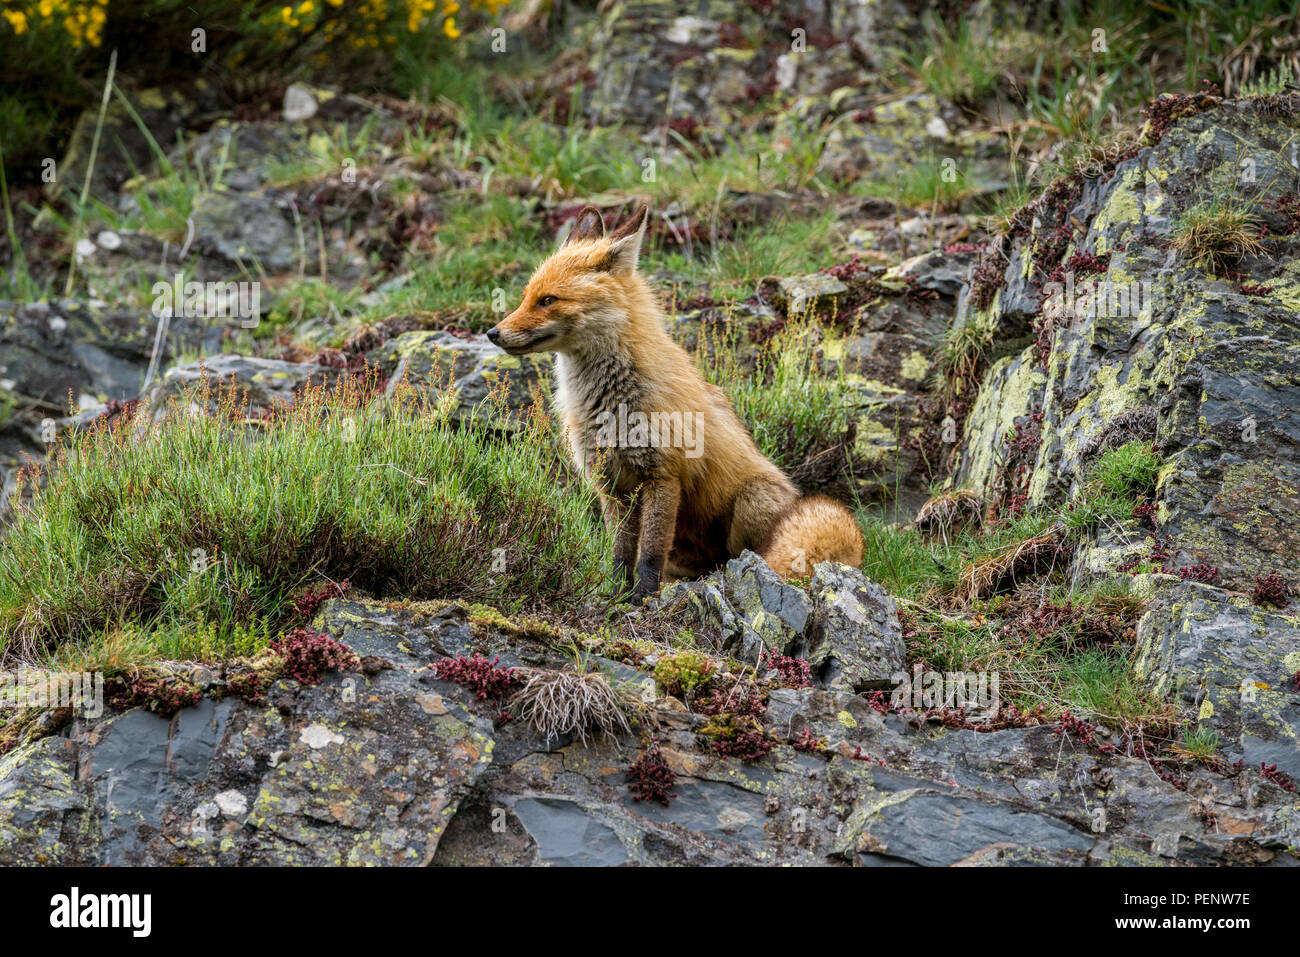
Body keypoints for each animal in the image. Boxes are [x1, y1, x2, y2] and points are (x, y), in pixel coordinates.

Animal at [486, 203, 864, 600]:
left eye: (547, 301)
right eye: (526, 297)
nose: (493, 333)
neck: (612, 403)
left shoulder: (663, 476)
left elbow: (650, 551)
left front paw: (644, 598)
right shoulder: (612, 487)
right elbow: (621, 552)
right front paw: (615, 595)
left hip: (751, 502)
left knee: (739, 556)